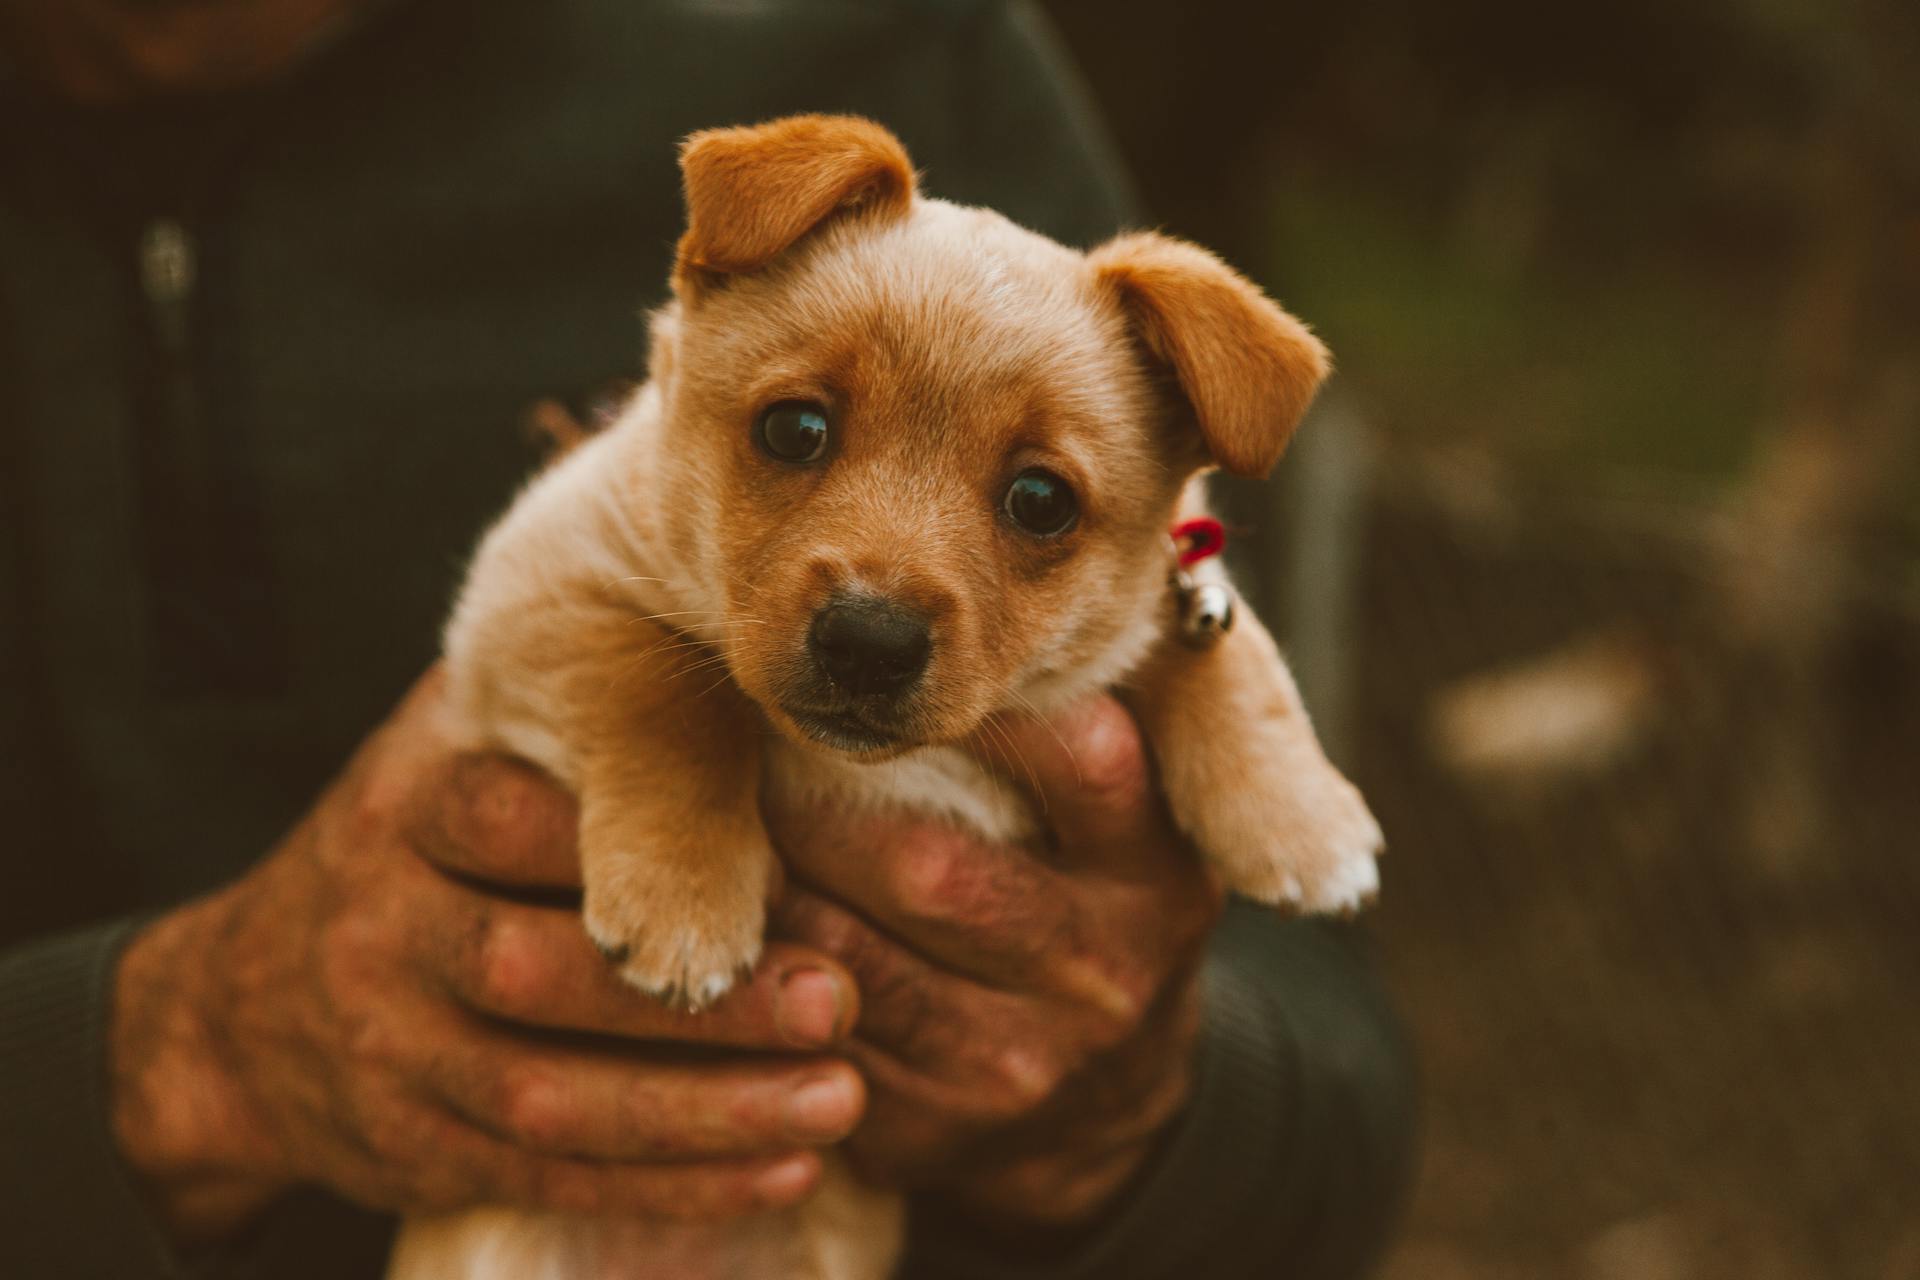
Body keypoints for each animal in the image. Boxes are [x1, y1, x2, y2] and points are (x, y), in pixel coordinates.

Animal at [393, 117, 1382, 1280]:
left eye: (1040, 499)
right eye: (794, 429)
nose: (869, 643)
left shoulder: (1158, 601)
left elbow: (1219, 645)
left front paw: (1300, 817)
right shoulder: (530, 586)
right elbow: (664, 684)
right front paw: (686, 898)